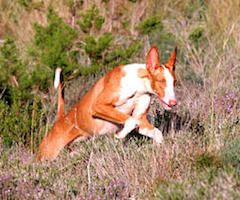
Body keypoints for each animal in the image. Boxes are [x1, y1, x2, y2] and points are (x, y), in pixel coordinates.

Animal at [37, 46, 176, 161]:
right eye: (161, 81)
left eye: (174, 82)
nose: (174, 103)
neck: (137, 85)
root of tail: (61, 119)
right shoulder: (97, 106)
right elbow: (130, 121)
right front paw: (119, 135)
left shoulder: (140, 119)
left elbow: (155, 132)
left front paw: (158, 150)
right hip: (47, 156)